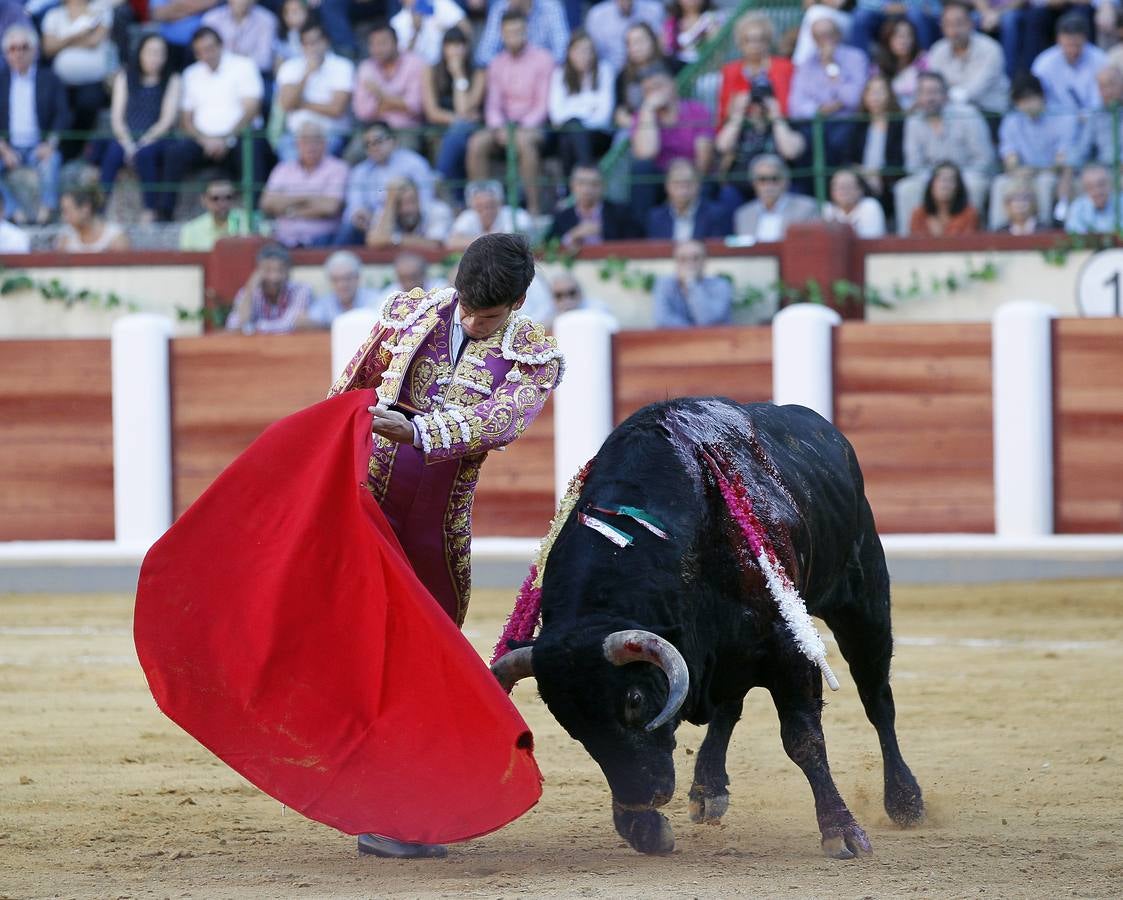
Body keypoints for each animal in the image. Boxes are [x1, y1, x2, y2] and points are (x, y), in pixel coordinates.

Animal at [496, 397, 925, 858]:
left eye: (633, 699)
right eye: (567, 720)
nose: (640, 799)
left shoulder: (787, 648)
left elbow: (803, 739)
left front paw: (841, 830)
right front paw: (644, 829)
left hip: (864, 603)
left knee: (877, 699)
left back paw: (904, 800)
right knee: (730, 705)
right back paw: (708, 788)